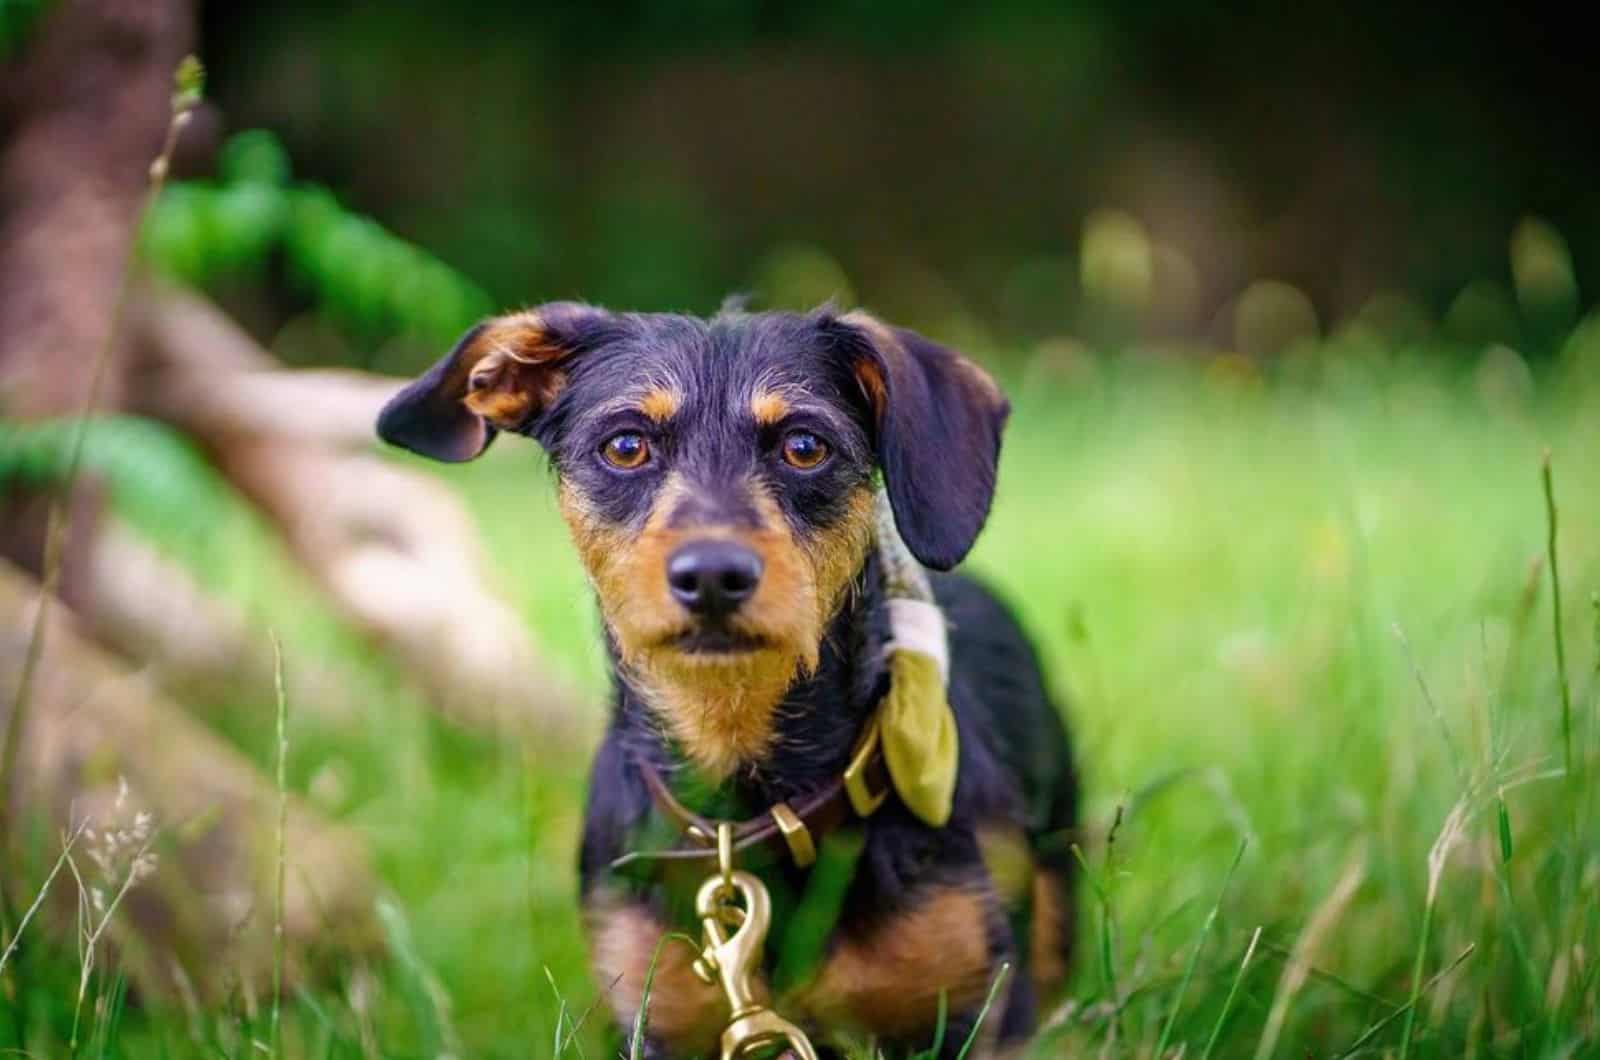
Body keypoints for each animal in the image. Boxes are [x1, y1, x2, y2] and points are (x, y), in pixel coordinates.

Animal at [377, 302, 1075, 1056]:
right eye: (626, 446)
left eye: (805, 446)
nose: (713, 573)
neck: (742, 802)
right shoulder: (656, 1015)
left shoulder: (978, 1004)